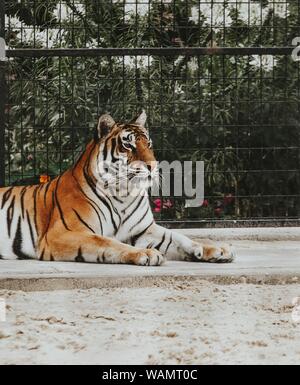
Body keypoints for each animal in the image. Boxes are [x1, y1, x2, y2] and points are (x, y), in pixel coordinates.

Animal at [0, 111, 234, 264]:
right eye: (128, 145)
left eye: (148, 144)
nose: (153, 166)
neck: (124, 193)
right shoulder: (64, 233)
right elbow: (107, 242)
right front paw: (145, 254)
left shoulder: (144, 230)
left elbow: (178, 237)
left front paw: (215, 249)